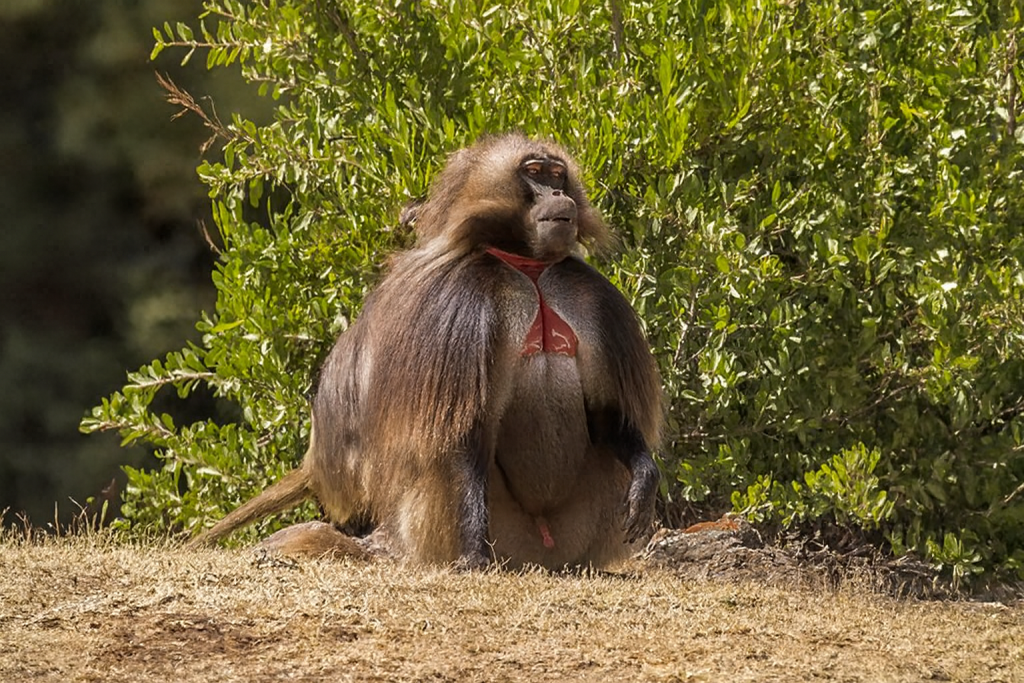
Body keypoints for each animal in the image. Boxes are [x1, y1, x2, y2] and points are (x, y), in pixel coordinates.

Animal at [190, 133, 663, 570]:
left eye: (557, 174)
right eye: (534, 173)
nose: (559, 195)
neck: (529, 270)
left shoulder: (586, 298)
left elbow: (603, 412)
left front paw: (645, 476)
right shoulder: (462, 306)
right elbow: (464, 431)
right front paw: (472, 556)